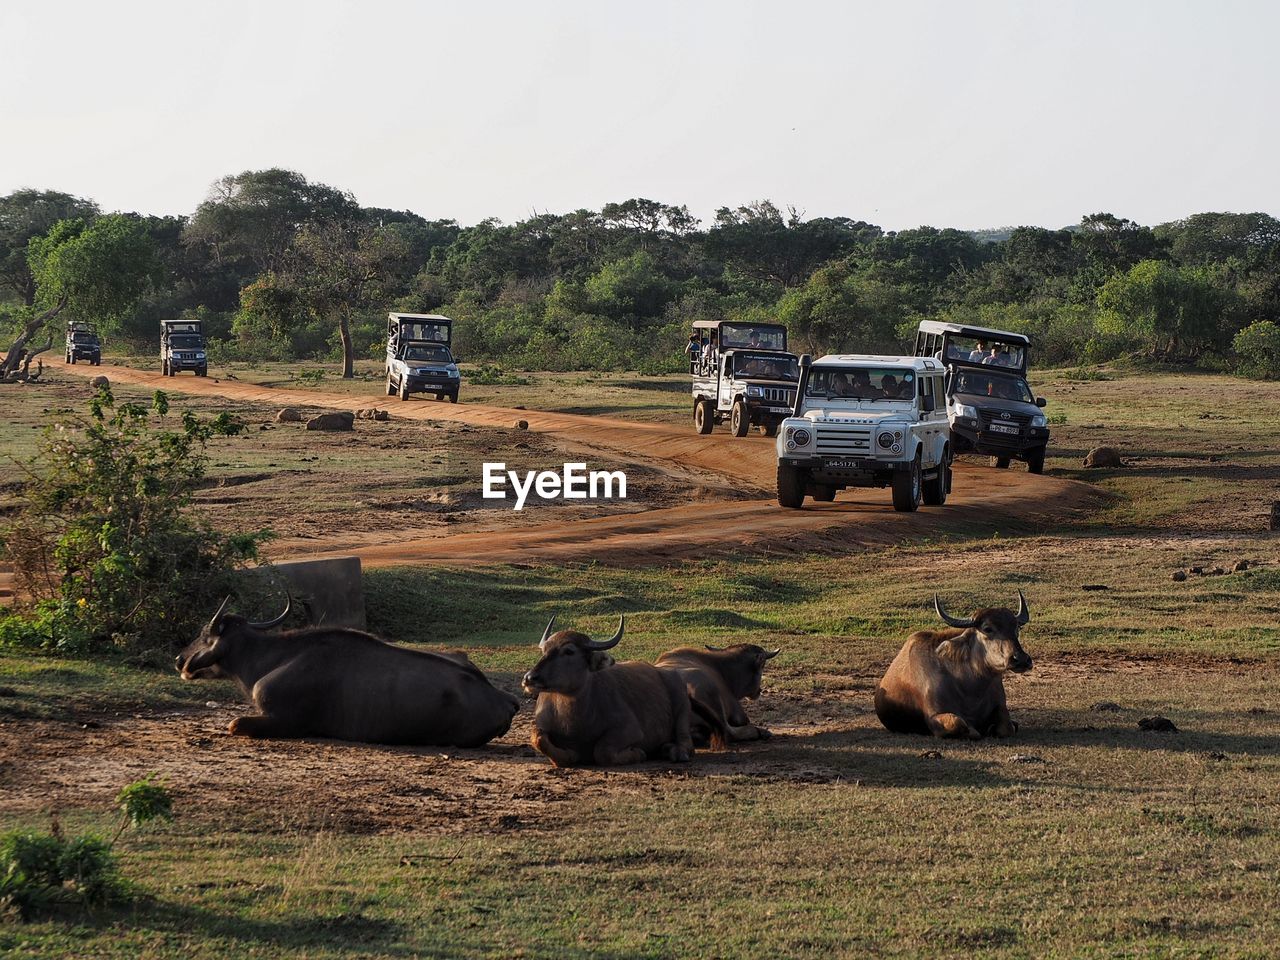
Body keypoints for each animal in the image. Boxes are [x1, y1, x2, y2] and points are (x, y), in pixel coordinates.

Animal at [177, 599, 522, 747]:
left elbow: (235, 724)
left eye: (205, 635)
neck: (273, 656)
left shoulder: (284, 721)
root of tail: (503, 699)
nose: (180, 659)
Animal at [522, 619, 701, 773]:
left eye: (569, 651)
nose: (529, 678)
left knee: (686, 742)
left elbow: (603, 751)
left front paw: (638, 753)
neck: (572, 721)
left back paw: (675, 752)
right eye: (544, 650)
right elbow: (539, 738)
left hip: (682, 707)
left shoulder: (631, 730)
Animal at [875, 593, 1034, 742]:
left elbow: (1007, 727)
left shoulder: (1000, 707)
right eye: (987, 629)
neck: (971, 691)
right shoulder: (934, 717)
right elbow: (961, 725)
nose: (1020, 659)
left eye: (1016, 628)